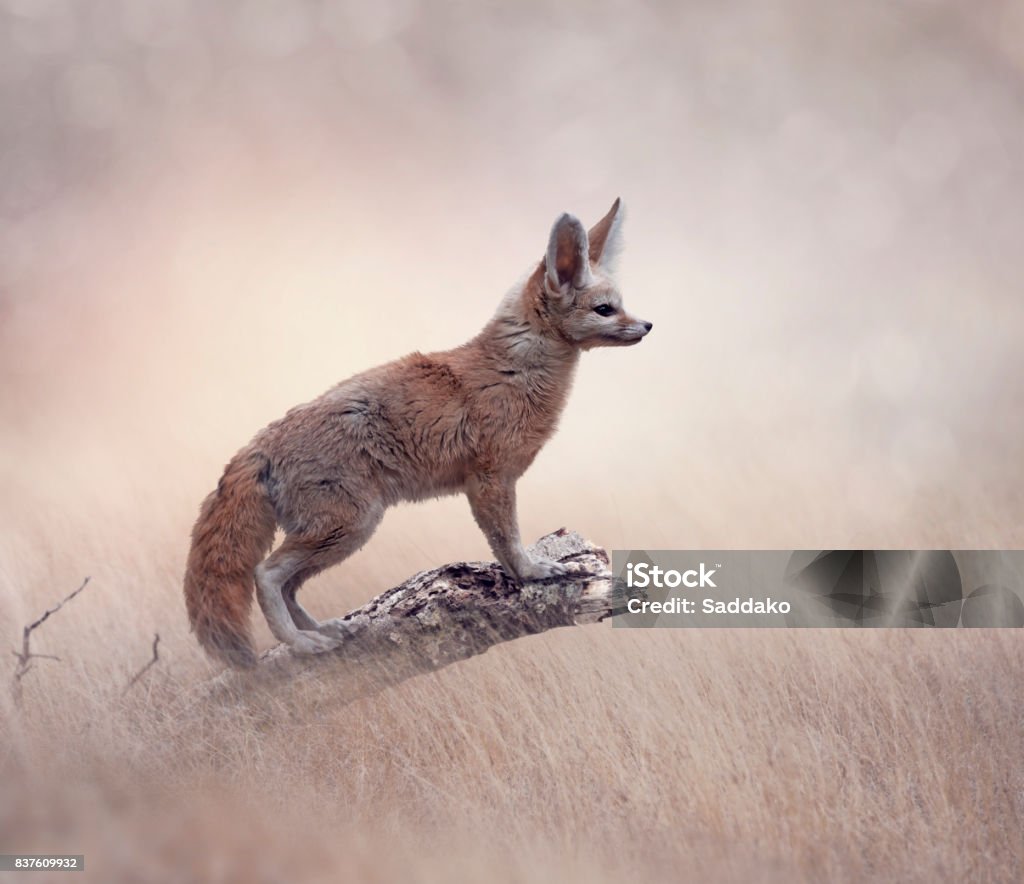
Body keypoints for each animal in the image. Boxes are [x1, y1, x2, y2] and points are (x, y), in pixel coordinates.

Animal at [184, 200, 647, 667]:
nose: (648, 326)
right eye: (605, 309)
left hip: (342, 533)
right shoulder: (490, 480)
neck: (515, 370)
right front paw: (533, 572)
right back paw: (302, 643)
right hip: (347, 526)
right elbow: (507, 542)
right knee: (266, 574)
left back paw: (323, 631)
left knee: (289, 585)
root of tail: (258, 443)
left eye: (620, 305)